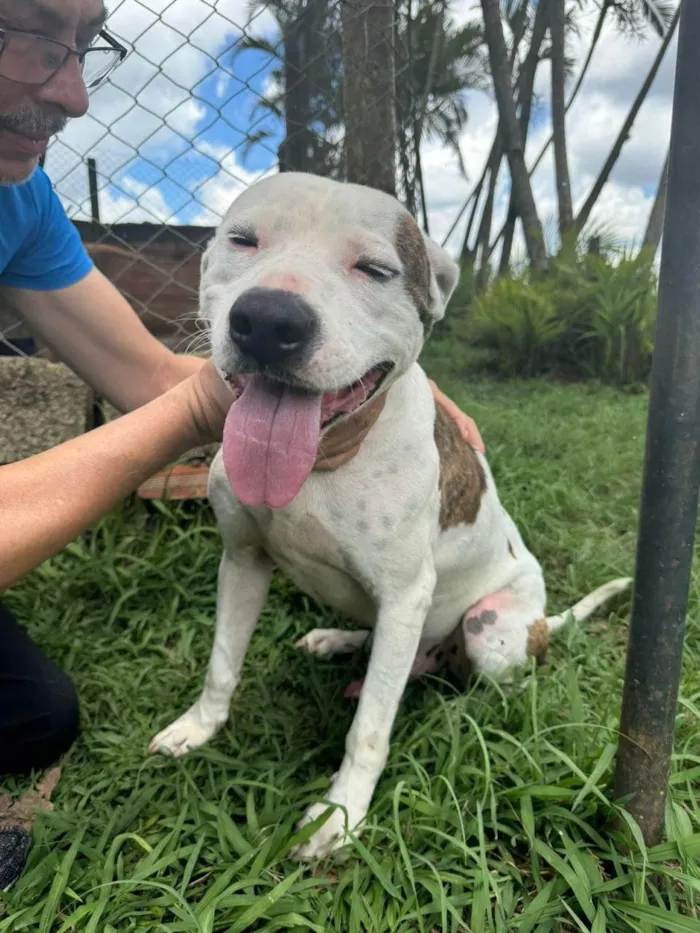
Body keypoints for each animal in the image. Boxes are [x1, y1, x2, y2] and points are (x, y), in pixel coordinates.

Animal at [150, 171, 632, 856]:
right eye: (242, 240)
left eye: (375, 269)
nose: (267, 320)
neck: (325, 458)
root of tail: (543, 622)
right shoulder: (242, 560)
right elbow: (222, 664)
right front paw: (197, 728)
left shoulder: (406, 593)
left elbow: (370, 727)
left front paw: (339, 814)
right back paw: (339, 639)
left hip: (488, 629)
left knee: (487, 679)